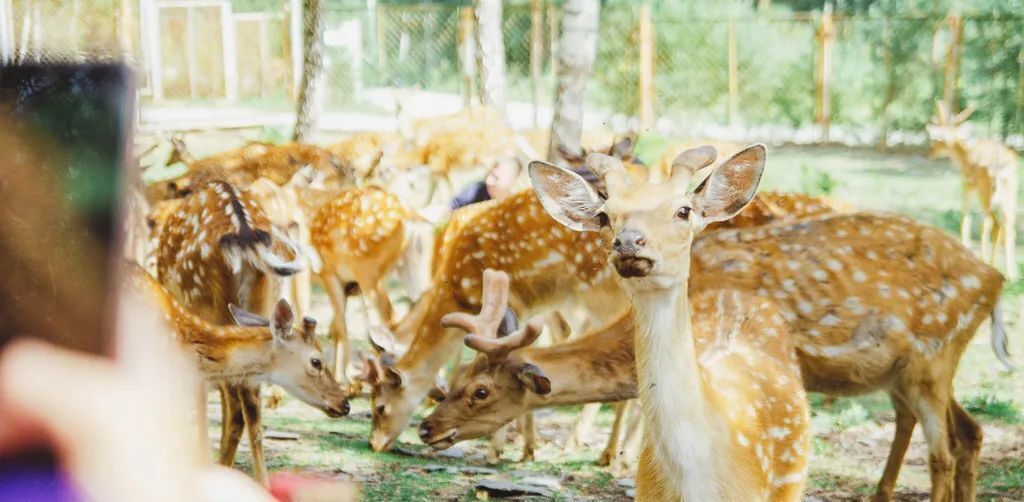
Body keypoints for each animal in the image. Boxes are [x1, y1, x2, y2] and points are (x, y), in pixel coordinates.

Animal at [532, 145, 1011, 501]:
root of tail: (997, 280)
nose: (628, 242)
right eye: (604, 215)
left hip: (930, 363)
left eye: (684, 210)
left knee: (944, 449)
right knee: (961, 430)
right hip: (910, 372)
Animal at [925, 101, 1019, 280]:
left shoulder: (968, 186)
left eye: (938, 139)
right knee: (1009, 226)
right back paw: (1011, 274)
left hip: (986, 191)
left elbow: (966, 219)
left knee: (994, 224)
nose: (930, 152)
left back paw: (992, 265)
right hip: (1010, 194)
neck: (964, 156)